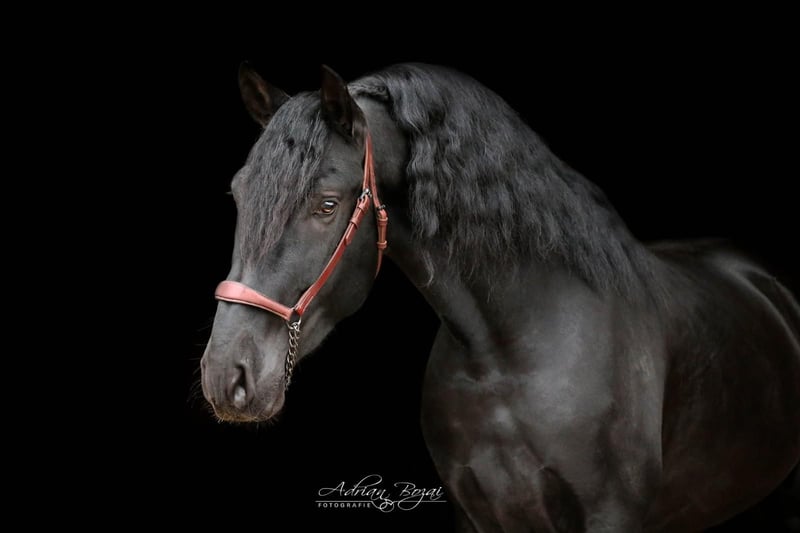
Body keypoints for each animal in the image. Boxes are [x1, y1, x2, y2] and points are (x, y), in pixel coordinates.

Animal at [200, 62, 800, 531]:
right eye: (238, 194)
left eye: (326, 204)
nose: (226, 376)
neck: (510, 354)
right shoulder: (476, 513)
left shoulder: (610, 515)